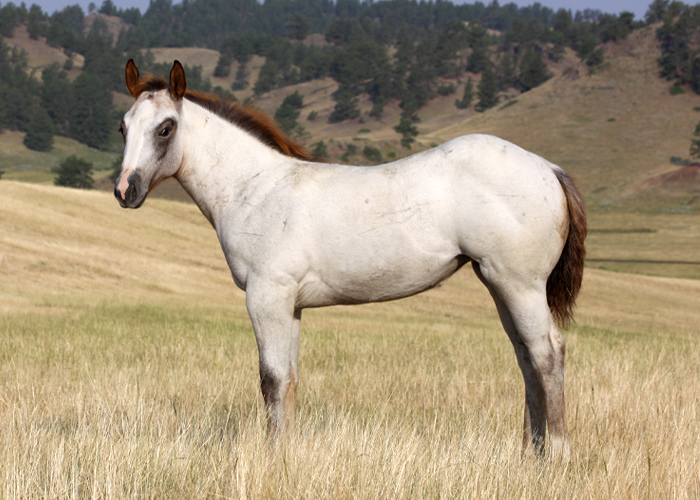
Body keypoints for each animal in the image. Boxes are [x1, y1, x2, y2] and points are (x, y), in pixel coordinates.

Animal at [113, 59, 584, 458]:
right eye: (123, 128)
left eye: (166, 128)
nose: (124, 191)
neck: (257, 188)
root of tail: (549, 168)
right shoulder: (291, 306)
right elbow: (290, 379)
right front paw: (287, 452)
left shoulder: (266, 297)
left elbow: (271, 380)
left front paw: (273, 456)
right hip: (498, 283)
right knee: (525, 357)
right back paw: (531, 452)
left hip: (519, 285)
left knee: (547, 353)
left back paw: (557, 455)